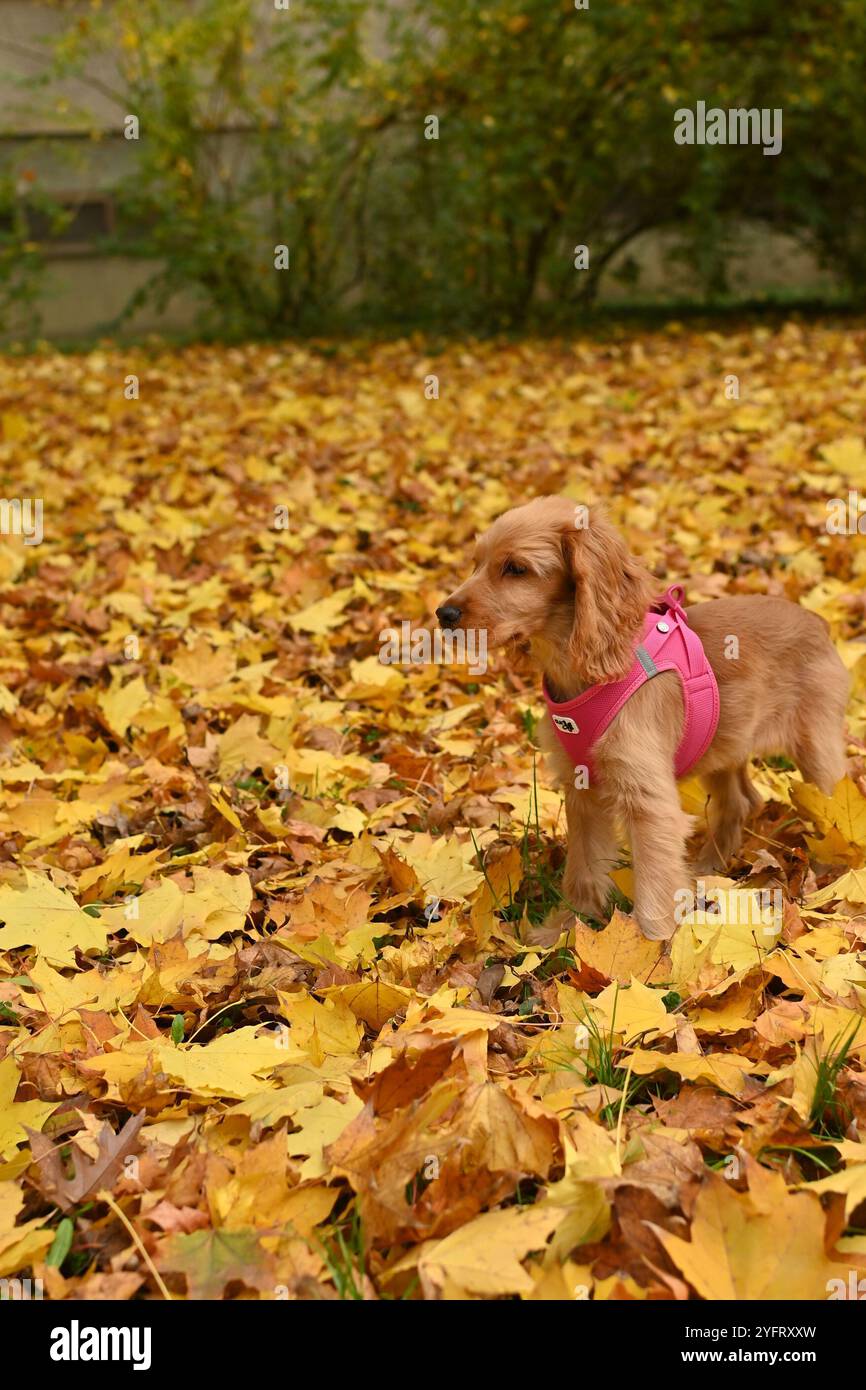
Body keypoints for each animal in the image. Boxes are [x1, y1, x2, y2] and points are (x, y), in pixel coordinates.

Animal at [436, 494, 850, 939]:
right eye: (476, 563)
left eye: (516, 569)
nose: (444, 614)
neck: (589, 670)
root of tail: (820, 622)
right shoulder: (581, 789)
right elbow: (582, 867)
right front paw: (562, 929)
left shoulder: (649, 803)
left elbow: (653, 893)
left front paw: (651, 951)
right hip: (724, 744)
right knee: (740, 801)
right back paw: (707, 866)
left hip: (816, 748)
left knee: (832, 803)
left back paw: (830, 870)